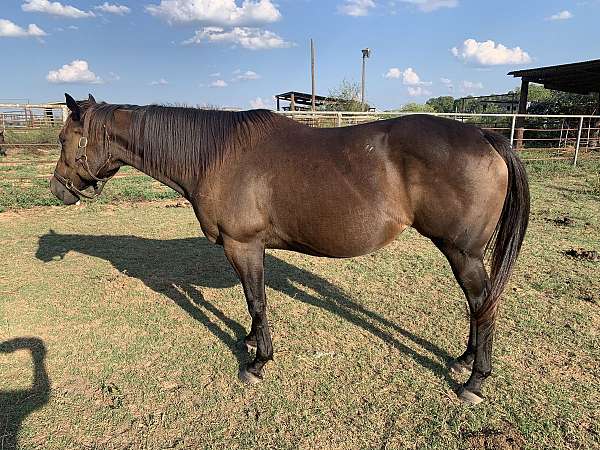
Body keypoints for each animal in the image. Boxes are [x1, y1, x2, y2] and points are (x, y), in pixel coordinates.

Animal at [51, 95, 528, 404]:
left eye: (62, 139)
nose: (58, 190)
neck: (215, 155)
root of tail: (484, 134)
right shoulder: (248, 249)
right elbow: (253, 302)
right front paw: (249, 341)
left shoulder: (243, 246)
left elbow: (257, 301)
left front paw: (258, 362)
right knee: (479, 305)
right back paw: (464, 361)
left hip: (461, 252)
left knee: (482, 303)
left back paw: (475, 381)